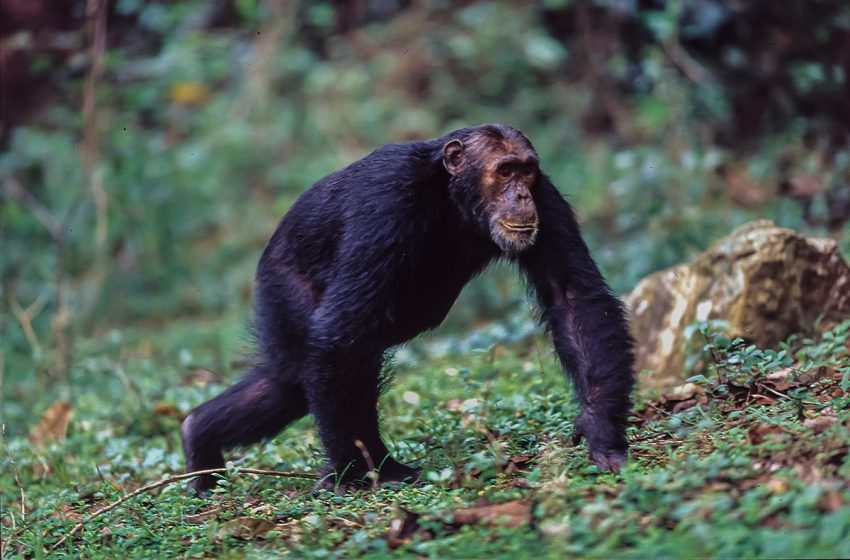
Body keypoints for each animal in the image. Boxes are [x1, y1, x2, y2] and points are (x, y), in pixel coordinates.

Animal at [181, 124, 635, 492]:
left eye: (526, 171)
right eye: (505, 171)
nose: (520, 193)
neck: (451, 194)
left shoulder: (547, 195)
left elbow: (571, 296)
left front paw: (599, 428)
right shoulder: (388, 200)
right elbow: (340, 331)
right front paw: (354, 474)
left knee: (287, 384)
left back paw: (198, 438)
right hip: (283, 289)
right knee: (333, 359)